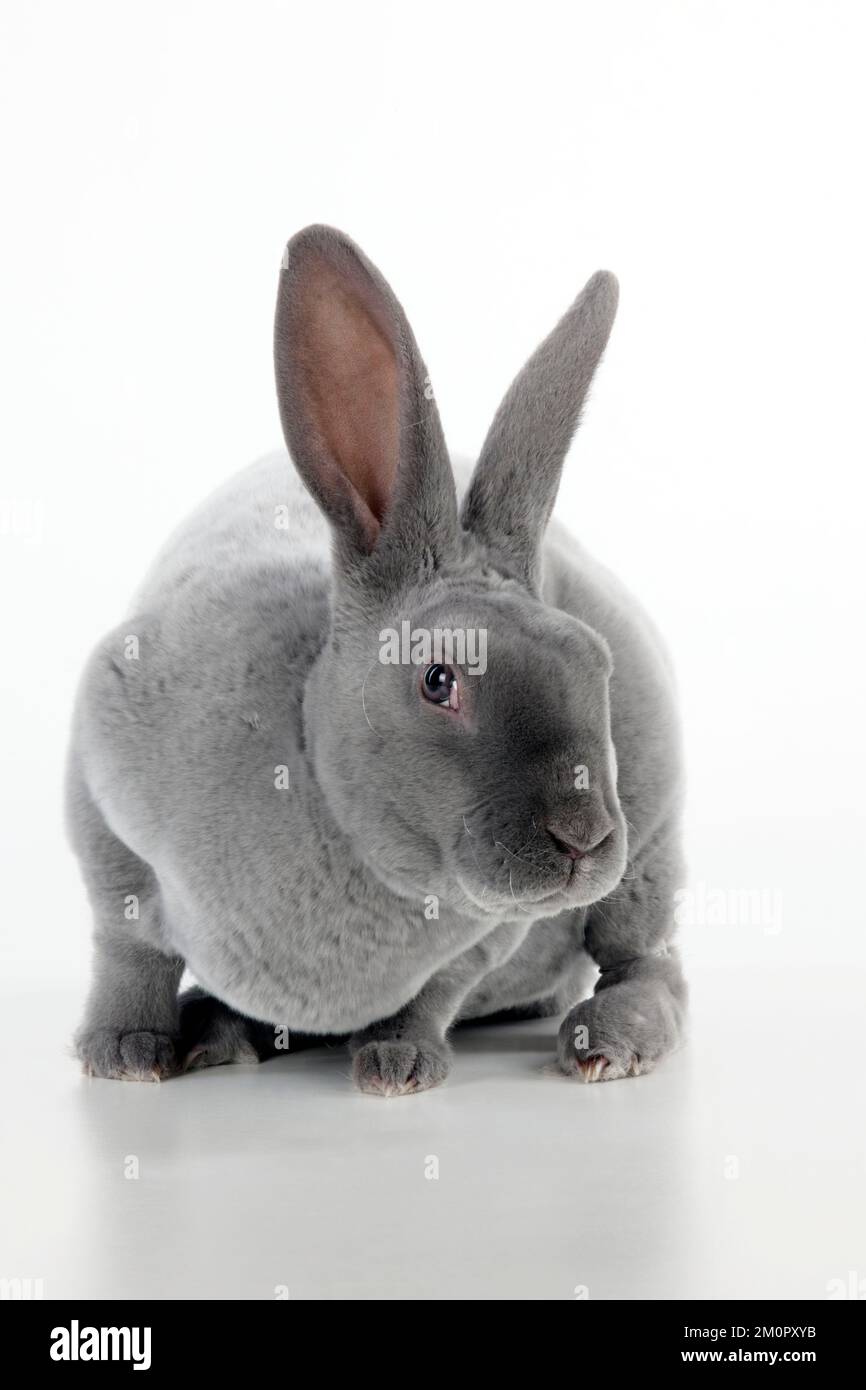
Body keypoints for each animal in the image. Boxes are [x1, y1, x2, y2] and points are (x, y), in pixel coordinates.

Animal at [67, 224, 686, 1095]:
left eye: (595, 664)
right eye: (438, 680)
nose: (585, 836)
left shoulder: (488, 932)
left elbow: (438, 988)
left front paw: (399, 1064)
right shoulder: (100, 785)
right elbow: (125, 947)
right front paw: (123, 1054)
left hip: (652, 857)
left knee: (648, 964)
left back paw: (604, 1041)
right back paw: (214, 1028)